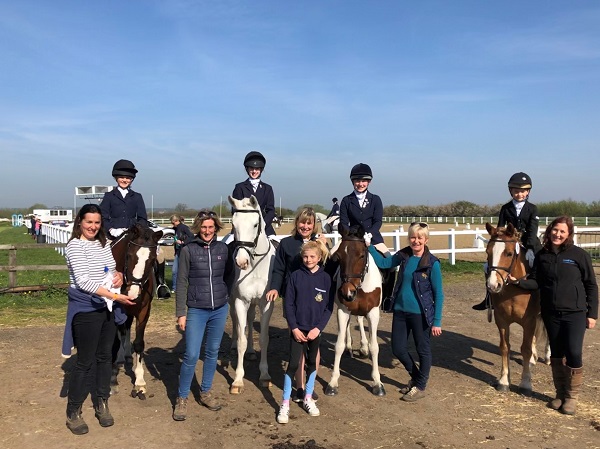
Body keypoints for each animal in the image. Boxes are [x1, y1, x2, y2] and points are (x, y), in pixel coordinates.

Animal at [109, 224, 162, 400]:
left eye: (152, 260)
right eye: (129, 255)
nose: (133, 294)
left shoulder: (143, 311)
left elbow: (139, 343)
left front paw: (139, 383)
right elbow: (116, 339)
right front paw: (113, 379)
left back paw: (126, 356)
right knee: (121, 333)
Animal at [324, 226, 384, 394]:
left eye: (362, 255)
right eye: (338, 257)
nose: (347, 292)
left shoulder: (373, 313)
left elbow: (374, 346)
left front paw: (377, 383)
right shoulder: (343, 310)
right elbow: (338, 345)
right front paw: (333, 382)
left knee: (359, 320)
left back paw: (363, 348)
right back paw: (350, 347)